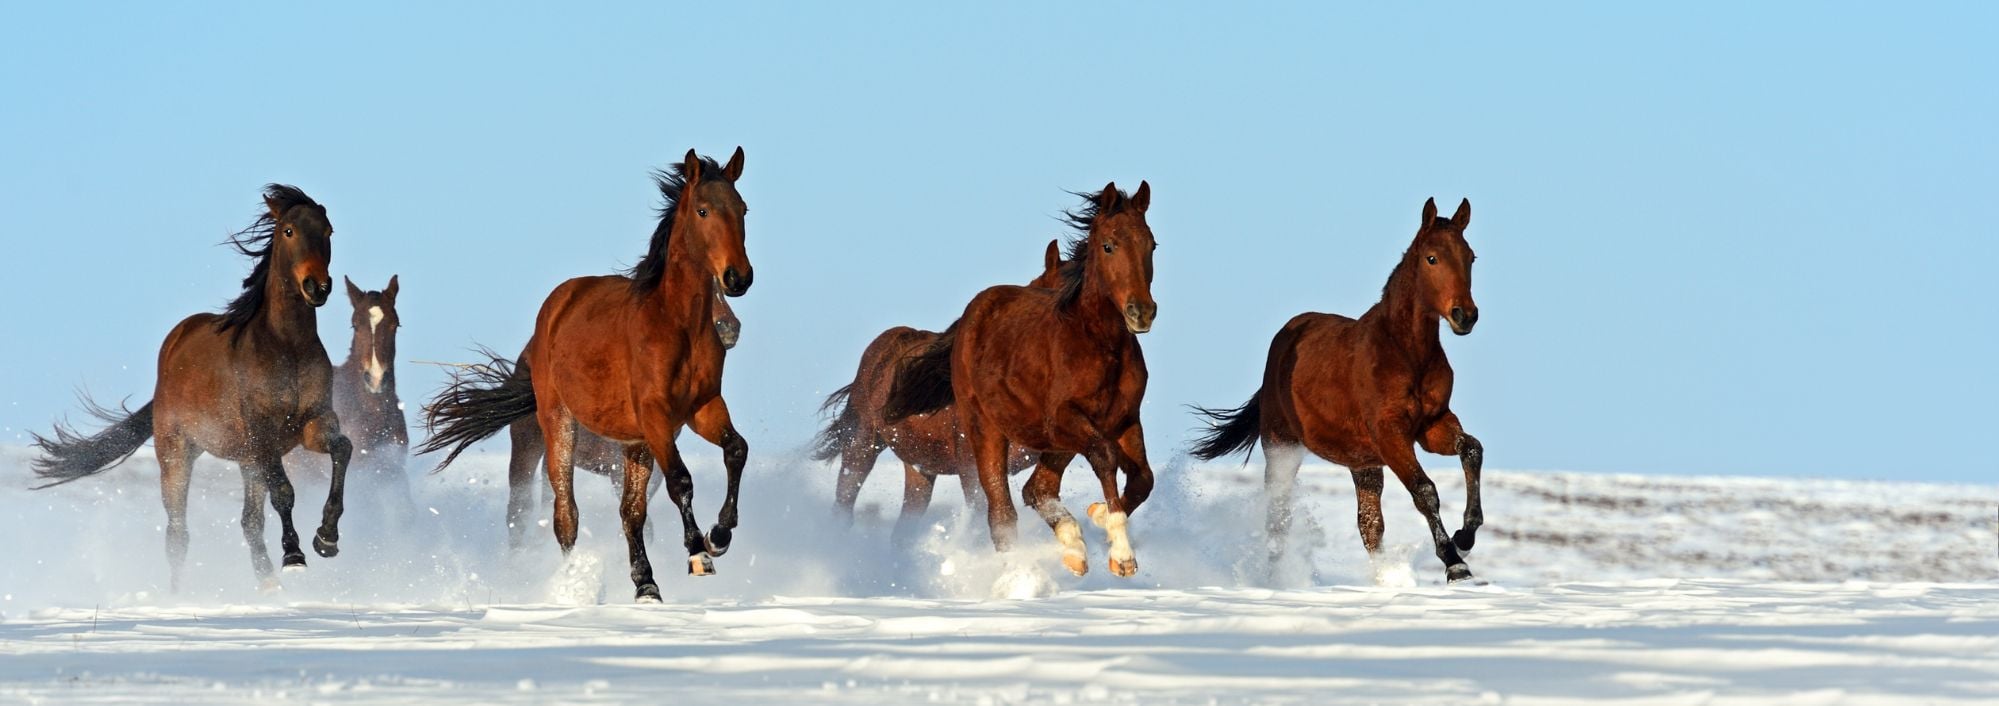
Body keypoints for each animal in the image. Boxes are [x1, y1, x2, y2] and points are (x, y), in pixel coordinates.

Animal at [30, 185, 354, 591]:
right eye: (289, 231)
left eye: (328, 232)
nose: (317, 287)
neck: (287, 347)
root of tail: (171, 353)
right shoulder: (263, 435)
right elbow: (284, 492)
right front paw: (295, 556)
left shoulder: (312, 424)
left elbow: (343, 450)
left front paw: (327, 538)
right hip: (177, 455)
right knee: (178, 534)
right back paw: (178, 595)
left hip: (246, 461)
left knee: (249, 523)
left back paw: (269, 588)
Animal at [884, 183, 1158, 578]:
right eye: (1109, 245)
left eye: (1151, 244)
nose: (1142, 312)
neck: (1099, 344)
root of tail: (971, 315)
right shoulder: (1064, 419)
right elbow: (1106, 458)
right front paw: (1122, 554)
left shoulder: (1124, 420)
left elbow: (1143, 479)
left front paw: (1099, 516)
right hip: (987, 429)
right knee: (1002, 513)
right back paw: (1018, 573)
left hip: (1056, 443)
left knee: (1036, 489)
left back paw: (1073, 549)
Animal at [1191, 198, 1484, 584]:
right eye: (1431, 258)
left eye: (1471, 256)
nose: (1465, 315)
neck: (1406, 353)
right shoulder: (1390, 434)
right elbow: (1425, 491)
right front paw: (1455, 563)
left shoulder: (1432, 425)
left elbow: (1472, 450)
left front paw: (1466, 535)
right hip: (1281, 447)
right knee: (1278, 516)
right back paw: (1276, 579)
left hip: (1364, 465)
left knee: (1369, 526)